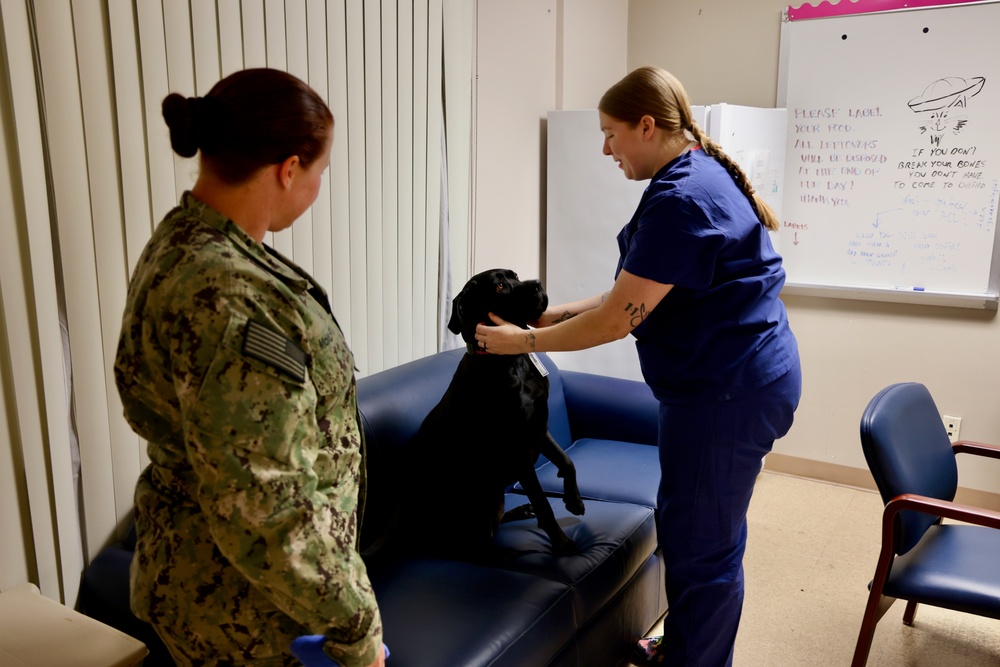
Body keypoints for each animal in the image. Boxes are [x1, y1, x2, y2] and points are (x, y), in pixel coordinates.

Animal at [384, 268, 584, 560]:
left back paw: (519, 511)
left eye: (515, 276)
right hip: (473, 503)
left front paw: (574, 499)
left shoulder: (539, 426)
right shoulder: (518, 449)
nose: (537, 283)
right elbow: (542, 501)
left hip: (495, 497)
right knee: (472, 547)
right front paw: (562, 543)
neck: (512, 361)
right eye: (500, 286)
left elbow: (566, 461)